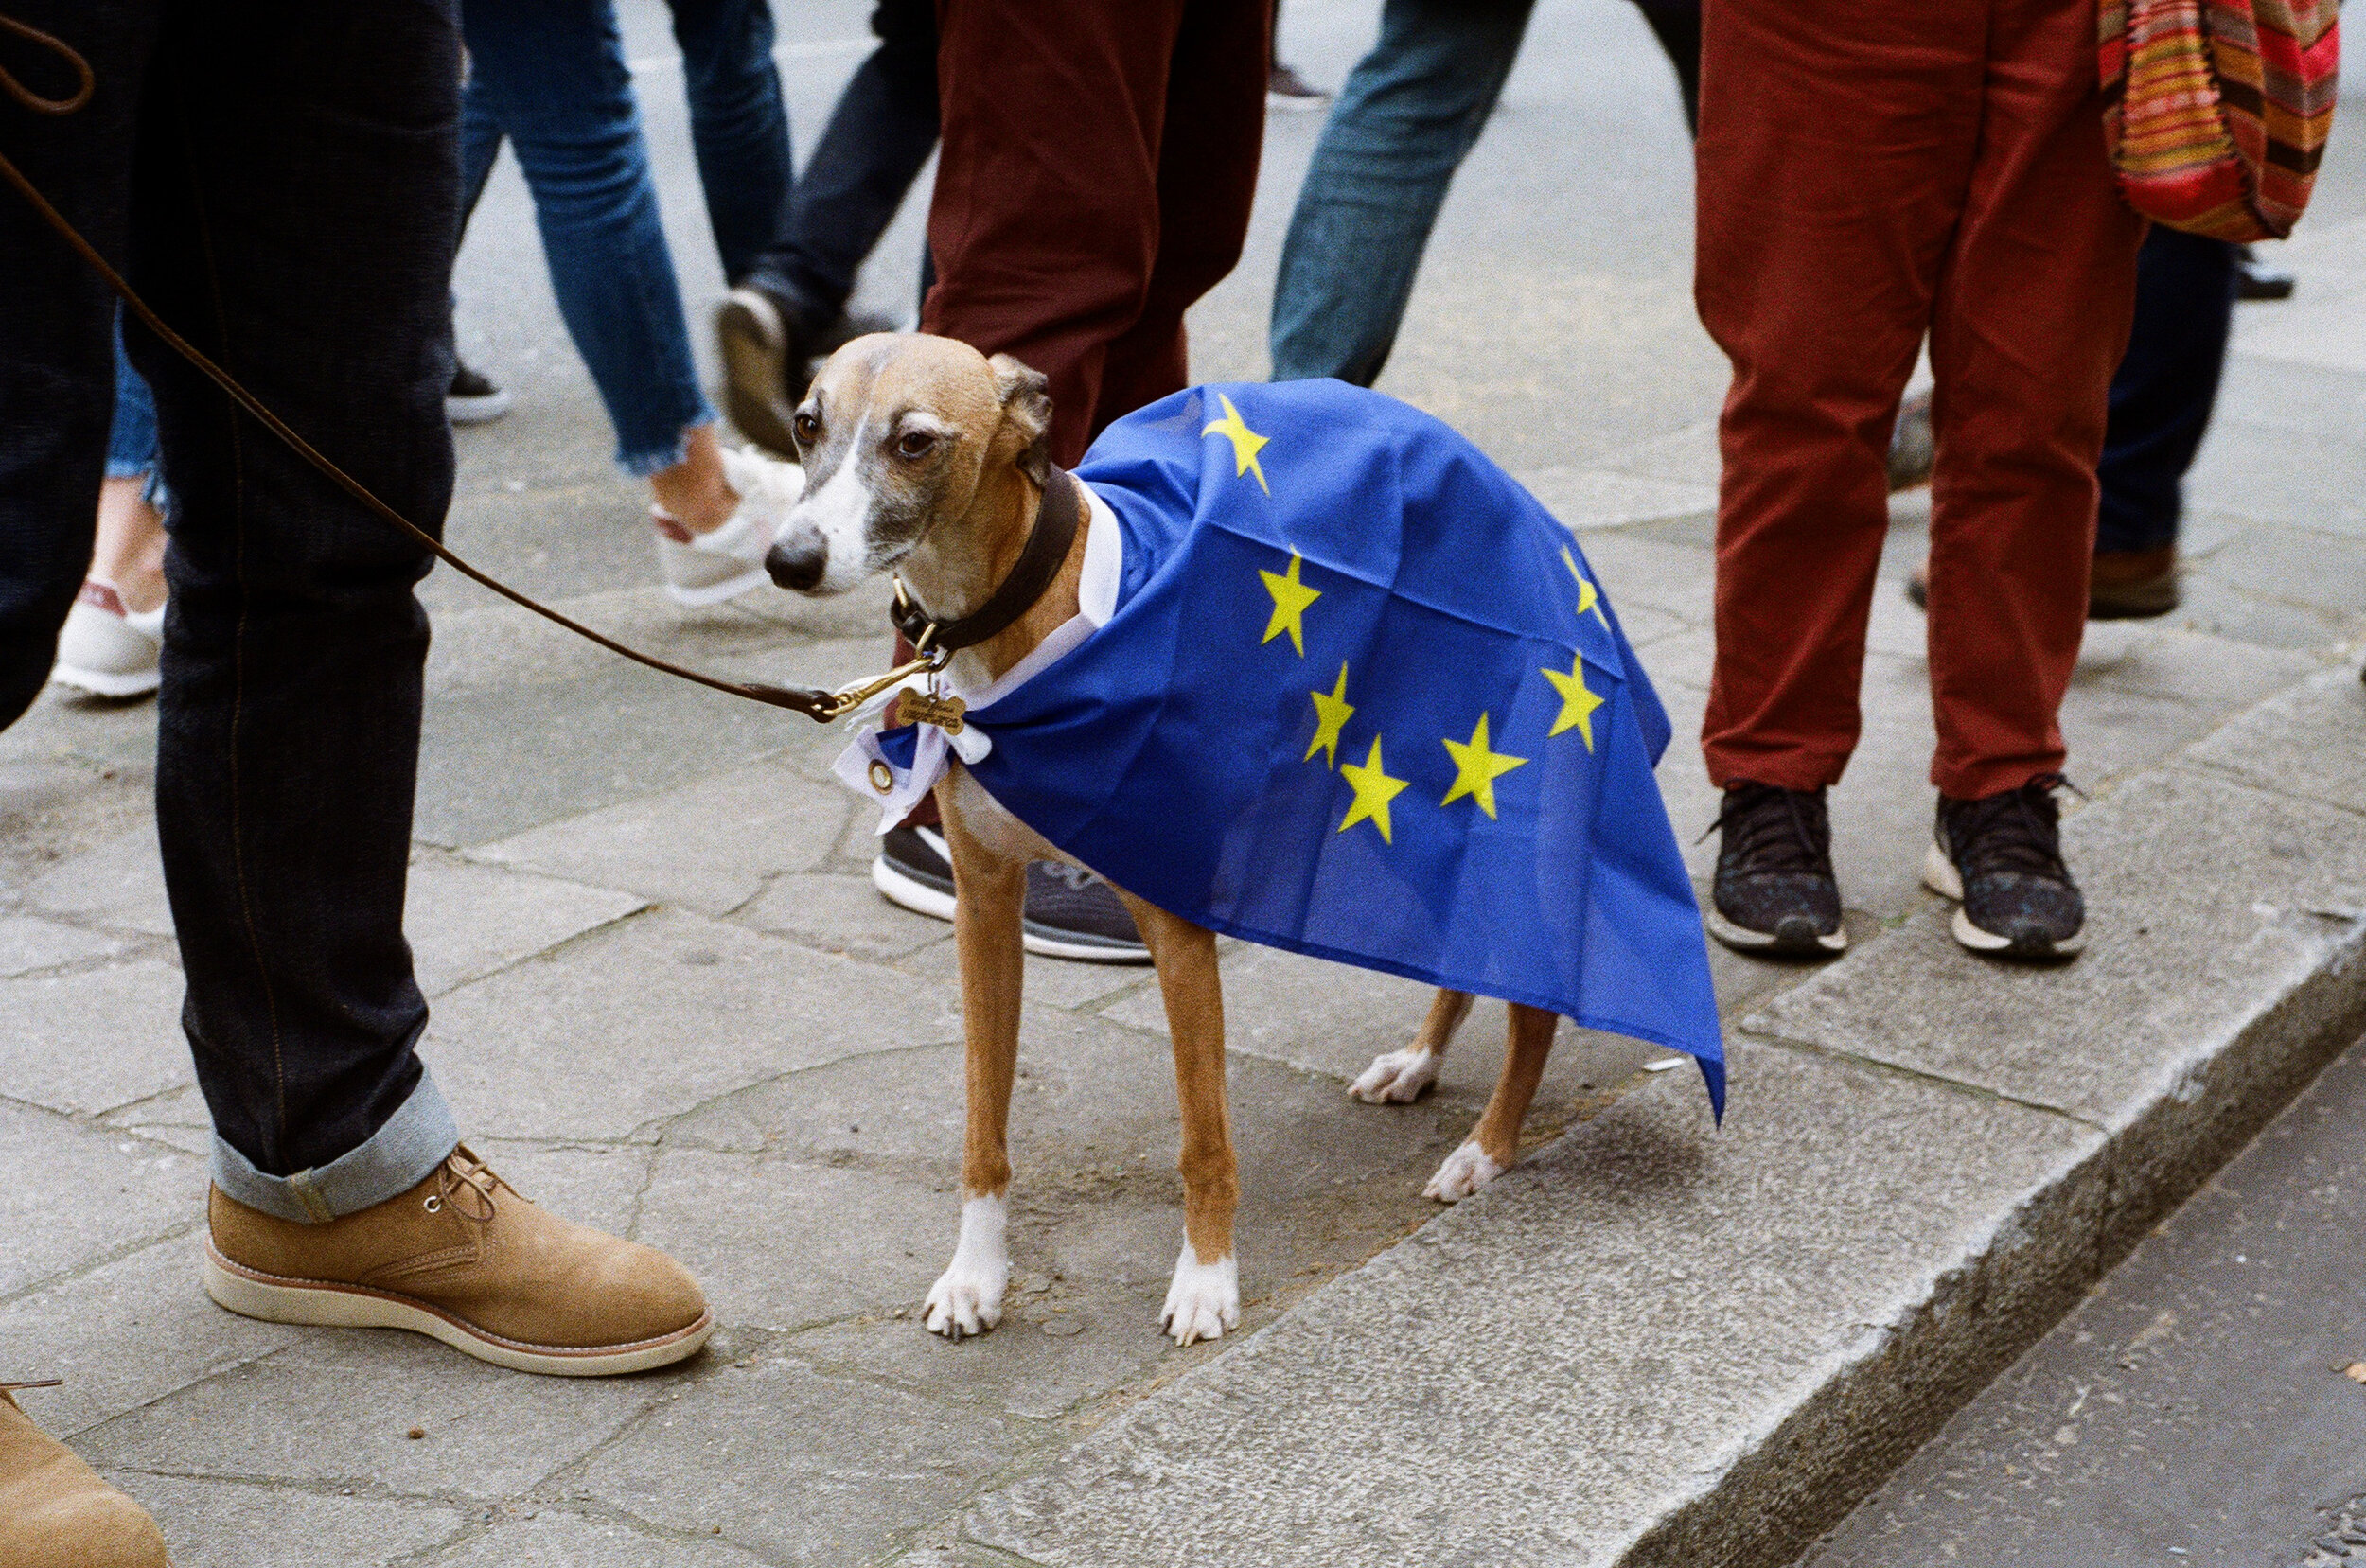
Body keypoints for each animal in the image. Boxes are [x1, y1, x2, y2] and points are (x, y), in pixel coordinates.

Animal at [771, 333, 1571, 1352]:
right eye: (806, 422)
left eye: (915, 440)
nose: (788, 559)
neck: (1030, 609)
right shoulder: (985, 912)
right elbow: (983, 1126)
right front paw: (975, 1275)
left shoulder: (1177, 931)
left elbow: (1203, 1139)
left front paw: (1206, 1281)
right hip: (1388, 808)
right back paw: (1419, 1061)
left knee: (1532, 998)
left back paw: (1486, 1150)